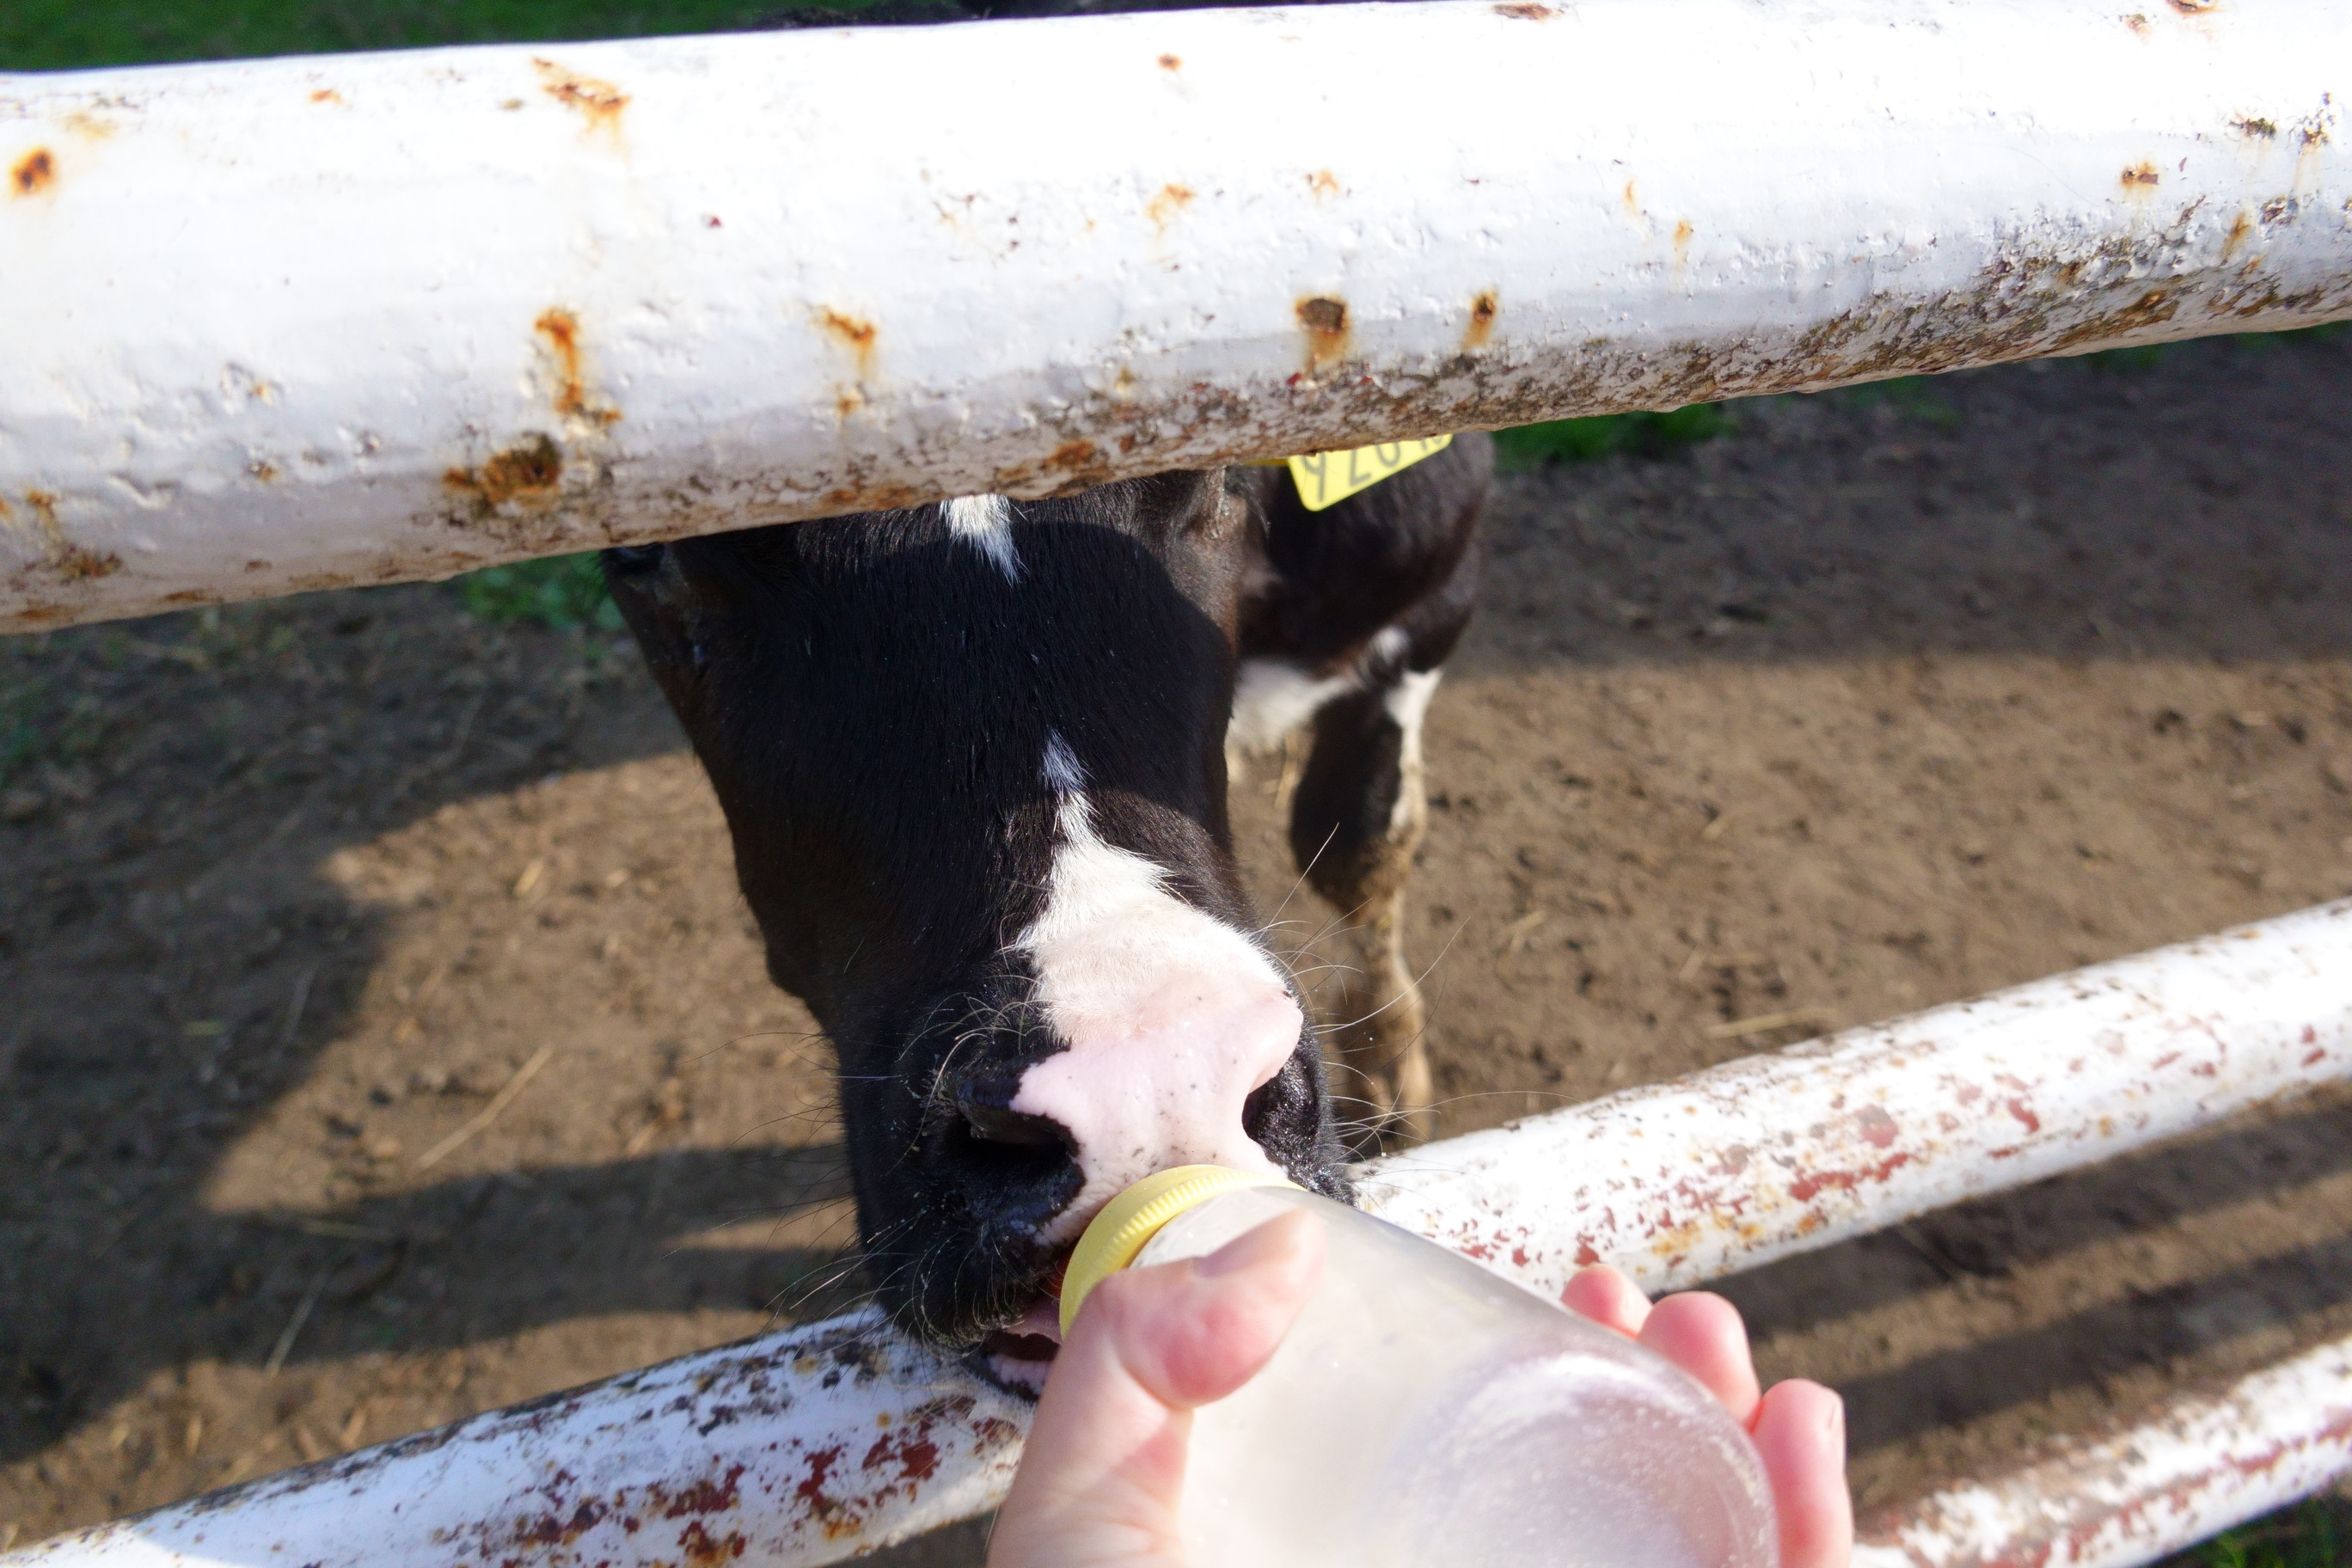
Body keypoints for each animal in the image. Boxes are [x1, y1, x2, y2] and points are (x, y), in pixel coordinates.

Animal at [606, 434, 1486, 1391]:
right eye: (645, 549)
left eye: (1223, 470)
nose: (1153, 1095)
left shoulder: (1431, 576)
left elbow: (1358, 833)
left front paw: (1391, 1077)